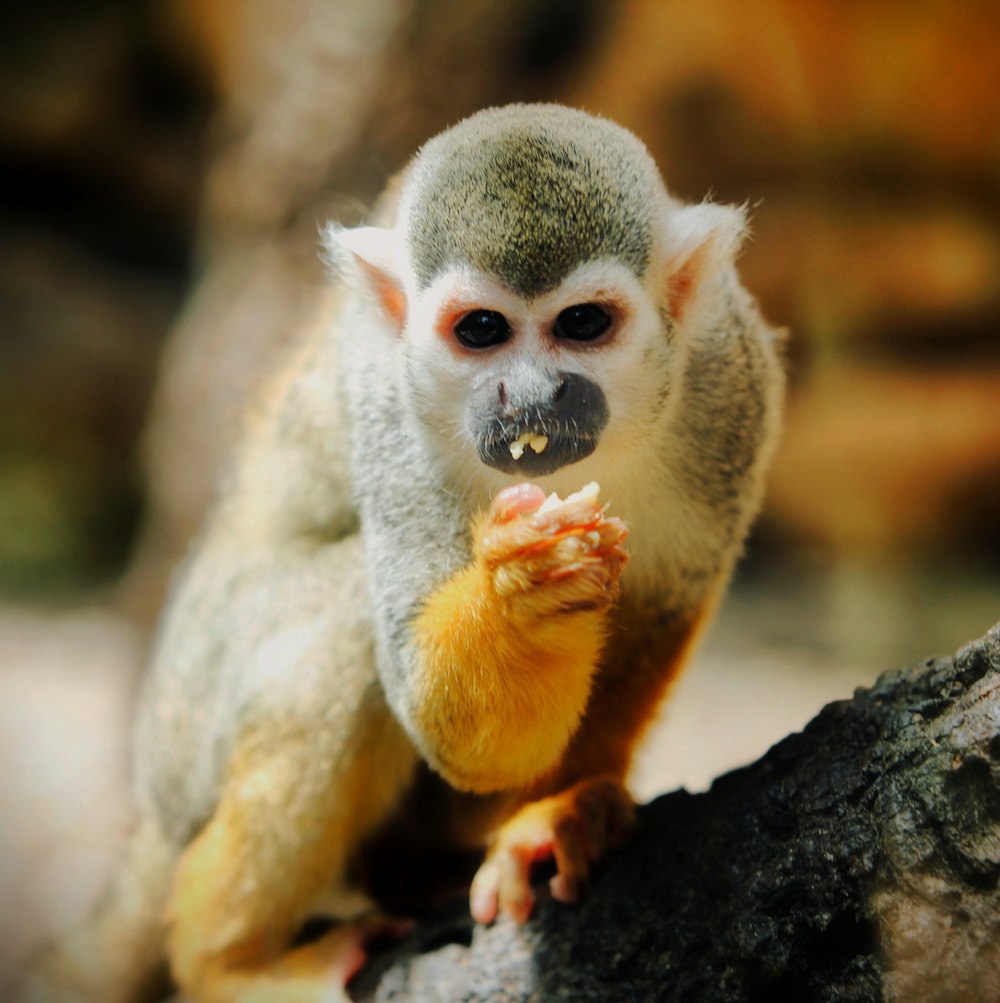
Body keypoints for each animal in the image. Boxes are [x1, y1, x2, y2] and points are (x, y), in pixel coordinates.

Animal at [13, 105, 782, 998]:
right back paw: (230, 962)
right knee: (340, 632)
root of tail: (154, 804)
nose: (531, 398)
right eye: (481, 330)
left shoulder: (729, 384)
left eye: (584, 323)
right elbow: (442, 714)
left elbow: (665, 605)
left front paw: (561, 809)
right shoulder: (391, 400)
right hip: (192, 715)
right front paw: (528, 594)